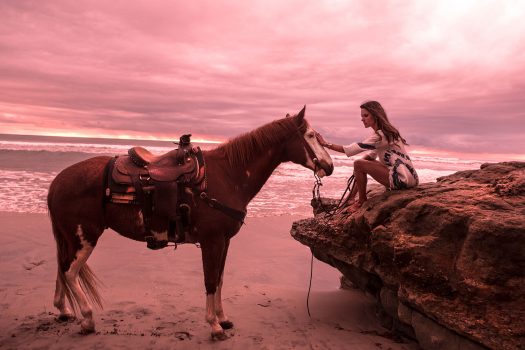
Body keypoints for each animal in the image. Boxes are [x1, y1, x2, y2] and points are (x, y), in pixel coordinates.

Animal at [46, 106, 332, 340]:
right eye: (309, 135)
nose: (329, 166)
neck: (227, 176)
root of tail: (57, 181)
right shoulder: (212, 241)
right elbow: (210, 280)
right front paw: (214, 326)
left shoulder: (224, 241)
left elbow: (220, 279)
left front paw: (223, 319)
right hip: (84, 237)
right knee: (70, 272)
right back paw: (87, 319)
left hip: (70, 238)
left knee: (61, 268)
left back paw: (64, 311)